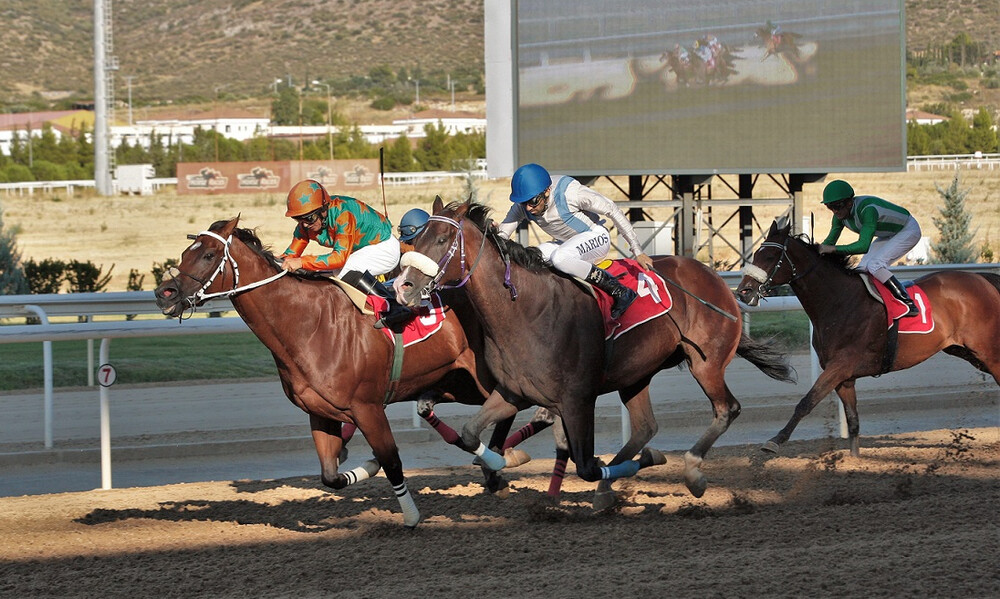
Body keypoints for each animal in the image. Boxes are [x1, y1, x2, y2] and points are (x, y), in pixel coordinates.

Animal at [152, 218, 540, 528]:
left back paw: (501, 460)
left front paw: (411, 516)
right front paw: (364, 466)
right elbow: (331, 476)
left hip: (480, 378)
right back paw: (498, 464)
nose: (164, 293)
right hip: (459, 383)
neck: (307, 324)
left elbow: (392, 461)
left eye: (208, 256)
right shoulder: (320, 412)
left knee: (514, 402)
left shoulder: (367, 408)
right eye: (186, 252)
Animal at [394, 199, 792, 504]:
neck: (525, 312)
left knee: (727, 409)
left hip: (705, 362)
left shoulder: (577, 399)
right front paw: (502, 464)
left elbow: (585, 465)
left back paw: (691, 472)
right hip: (636, 373)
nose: (403, 286)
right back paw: (609, 488)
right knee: (645, 427)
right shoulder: (512, 392)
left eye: (442, 238)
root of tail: (714, 278)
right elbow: (469, 433)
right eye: (415, 240)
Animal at [736, 218, 1000, 458]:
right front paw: (854, 461)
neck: (839, 301)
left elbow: (807, 402)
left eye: (770, 257)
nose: (743, 292)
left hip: (988, 351)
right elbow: (853, 420)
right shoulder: (844, 377)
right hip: (966, 351)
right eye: (756, 254)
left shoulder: (840, 366)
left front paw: (774, 441)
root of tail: (982, 278)